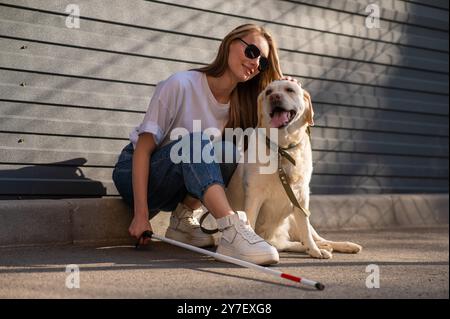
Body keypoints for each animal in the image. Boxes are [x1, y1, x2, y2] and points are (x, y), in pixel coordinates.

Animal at [227, 80, 360, 260]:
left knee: (313, 237)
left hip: (293, 216)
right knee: (287, 244)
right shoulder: (254, 195)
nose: (275, 97)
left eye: (289, 89)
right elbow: (250, 224)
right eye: (268, 92)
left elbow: (306, 231)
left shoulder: (301, 197)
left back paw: (336, 246)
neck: (283, 148)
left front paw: (315, 251)